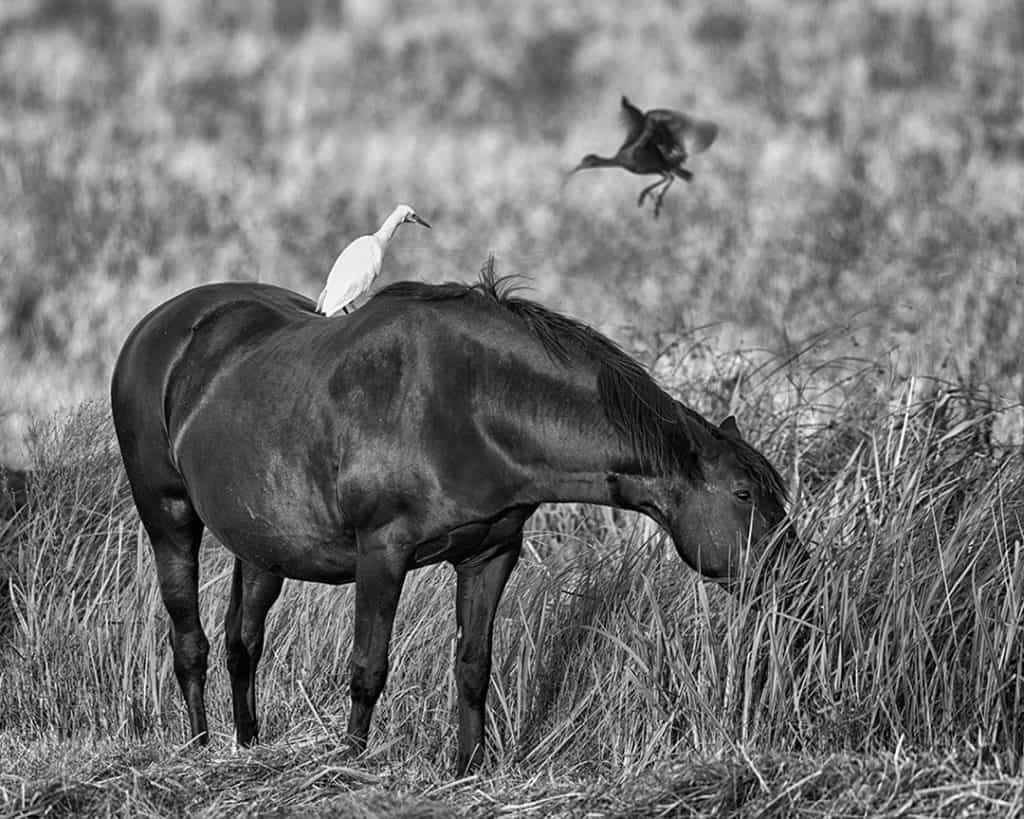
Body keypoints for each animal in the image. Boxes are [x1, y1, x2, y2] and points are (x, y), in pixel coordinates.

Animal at [114, 266, 798, 773]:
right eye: (743, 493)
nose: (796, 579)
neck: (470, 404)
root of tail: (159, 326)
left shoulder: (490, 554)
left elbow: (473, 665)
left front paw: (469, 768)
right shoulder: (382, 555)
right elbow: (368, 668)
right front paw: (350, 764)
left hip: (262, 546)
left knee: (242, 642)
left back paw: (247, 748)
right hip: (169, 519)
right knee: (190, 640)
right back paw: (199, 750)